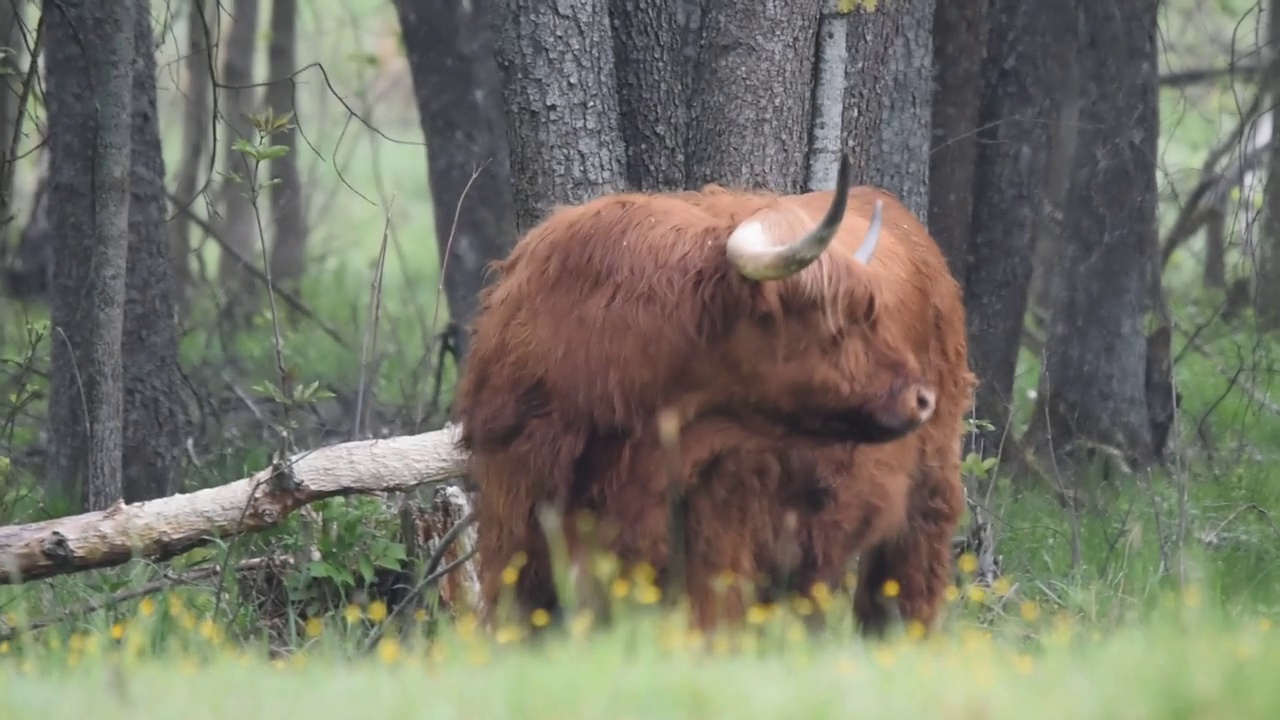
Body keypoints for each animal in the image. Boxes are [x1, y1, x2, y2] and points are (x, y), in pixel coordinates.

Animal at [455, 154, 972, 635]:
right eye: (834, 321)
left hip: (929, 492)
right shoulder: (514, 507)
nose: (920, 398)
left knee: (904, 592)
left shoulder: (720, 531)